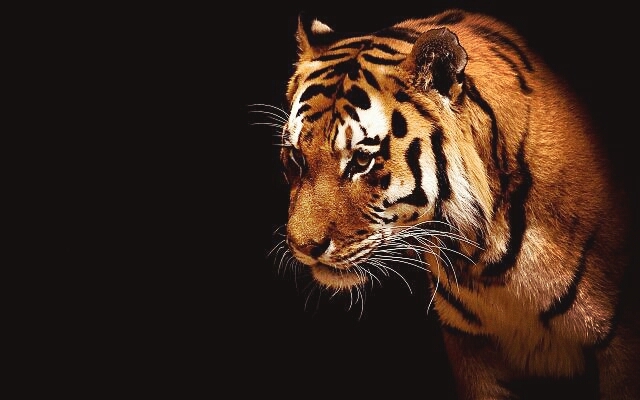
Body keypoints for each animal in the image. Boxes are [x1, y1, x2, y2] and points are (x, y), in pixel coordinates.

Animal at [270, 9, 639, 399]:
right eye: (296, 157)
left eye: (361, 160)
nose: (303, 247)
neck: (486, 262)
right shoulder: (469, 343)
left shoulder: (621, 341)